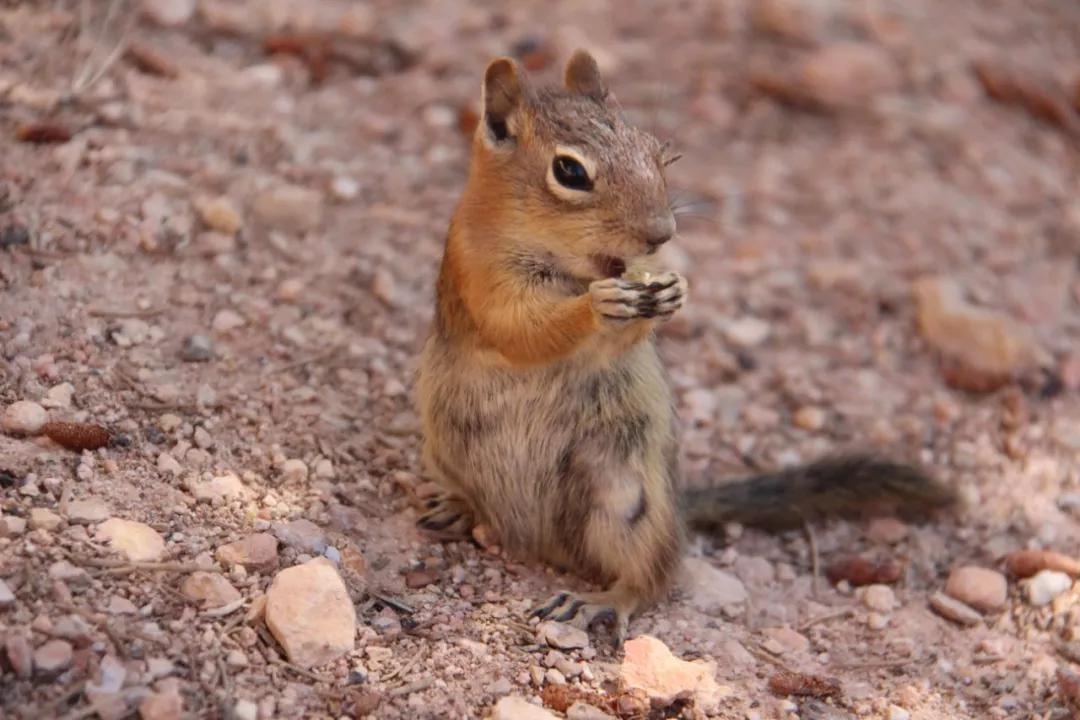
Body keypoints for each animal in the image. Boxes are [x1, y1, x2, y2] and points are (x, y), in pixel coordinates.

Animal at [412, 52, 954, 647]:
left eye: (658, 152)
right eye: (570, 172)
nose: (661, 234)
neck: (575, 266)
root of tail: (532, 541)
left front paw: (673, 291)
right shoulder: (480, 272)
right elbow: (521, 326)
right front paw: (597, 305)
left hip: (628, 501)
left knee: (652, 577)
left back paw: (600, 599)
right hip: (447, 450)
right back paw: (458, 506)